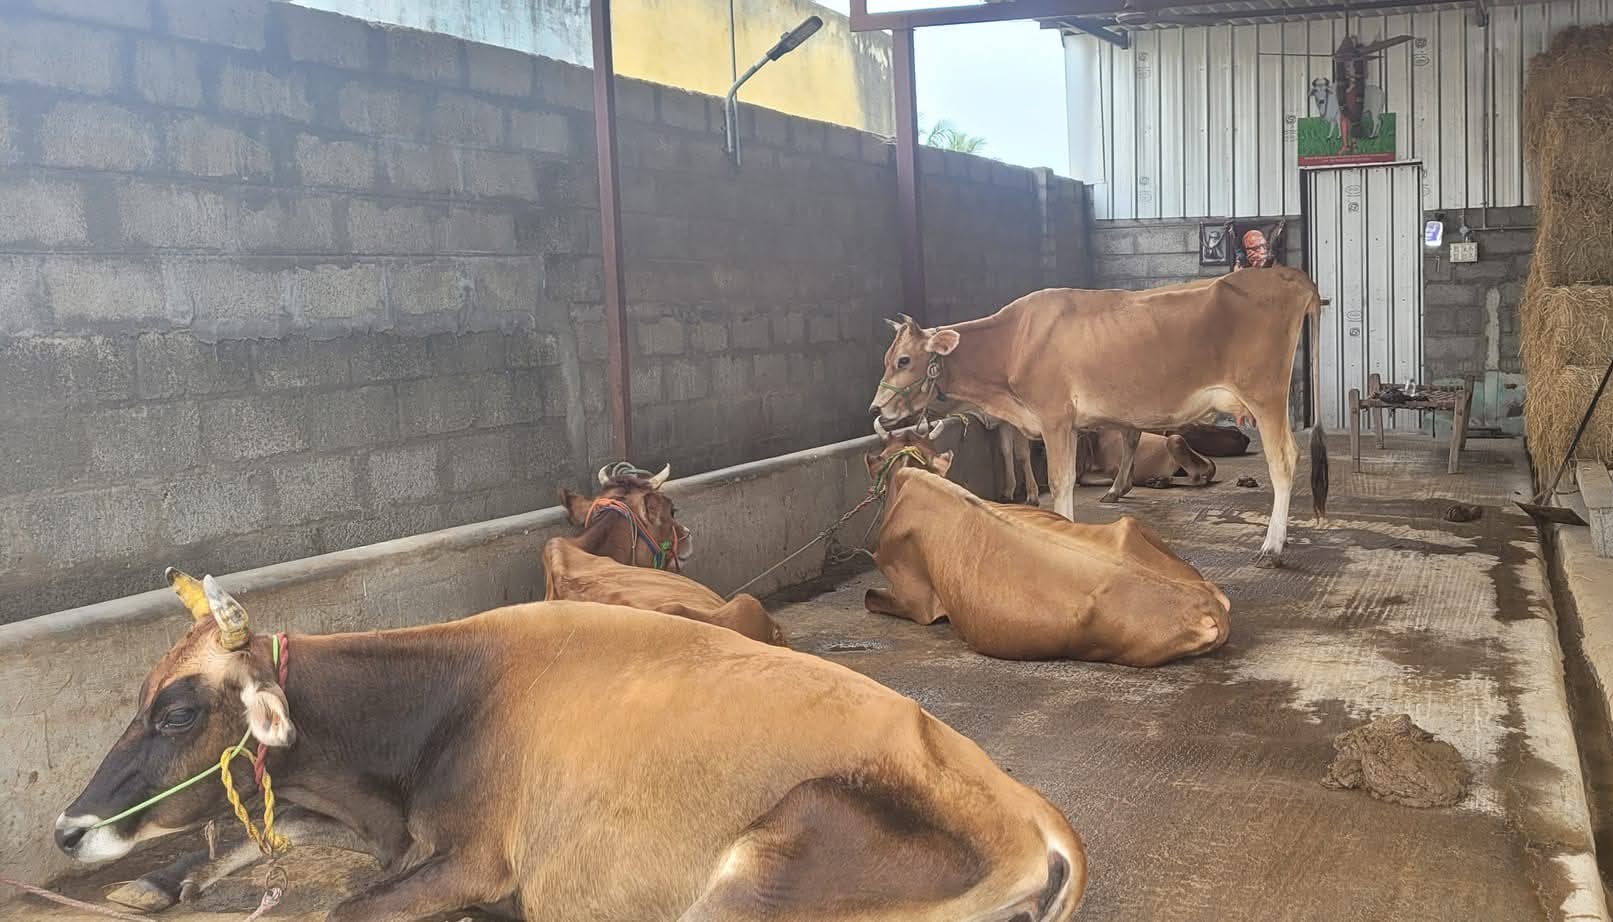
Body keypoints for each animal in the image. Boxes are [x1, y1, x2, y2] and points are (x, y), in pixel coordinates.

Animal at [58, 569, 1086, 922]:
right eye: (136, 698)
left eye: (177, 713)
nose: (67, 830)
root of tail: (1037, 815)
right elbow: (242, 838)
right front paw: (154, 883)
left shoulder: (474, 858)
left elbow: (344, 910)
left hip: (756, 877)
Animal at [869, 266, 1329, 567]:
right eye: (887, 357)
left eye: (904, 360)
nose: (876, 409)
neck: (1013, 343)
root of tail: (1288, 274)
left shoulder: (1054, 417)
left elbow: (1060, 483)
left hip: (1266, 396)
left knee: (1284, 461)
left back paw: (1272, 547)